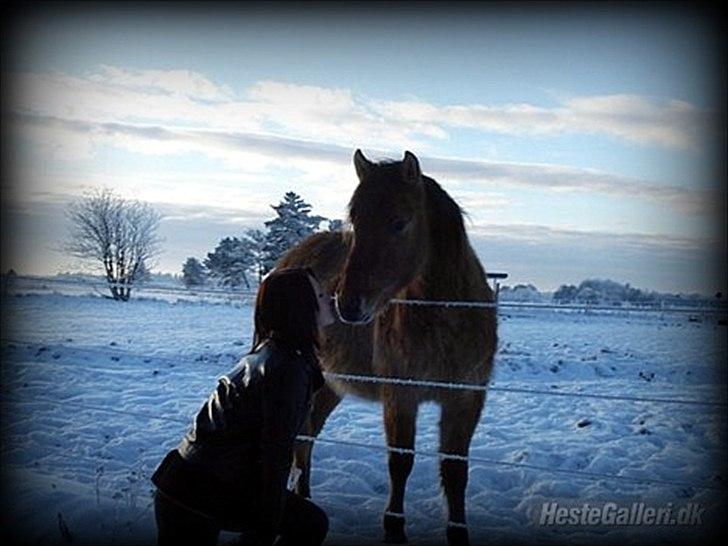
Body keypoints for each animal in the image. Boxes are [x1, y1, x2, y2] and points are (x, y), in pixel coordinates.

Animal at [276, 149, 498, 544]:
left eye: (399, 223)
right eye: (356, 222)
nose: (347, 305)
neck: (446, 319)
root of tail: (292, 257)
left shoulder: (465, 400)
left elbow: (456, 471)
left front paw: (458, 533)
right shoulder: (400, 395)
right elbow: (400, 461)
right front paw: (394, 528)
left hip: (329, 386)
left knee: (308, 436)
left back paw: (305, 496)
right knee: (301, 436)